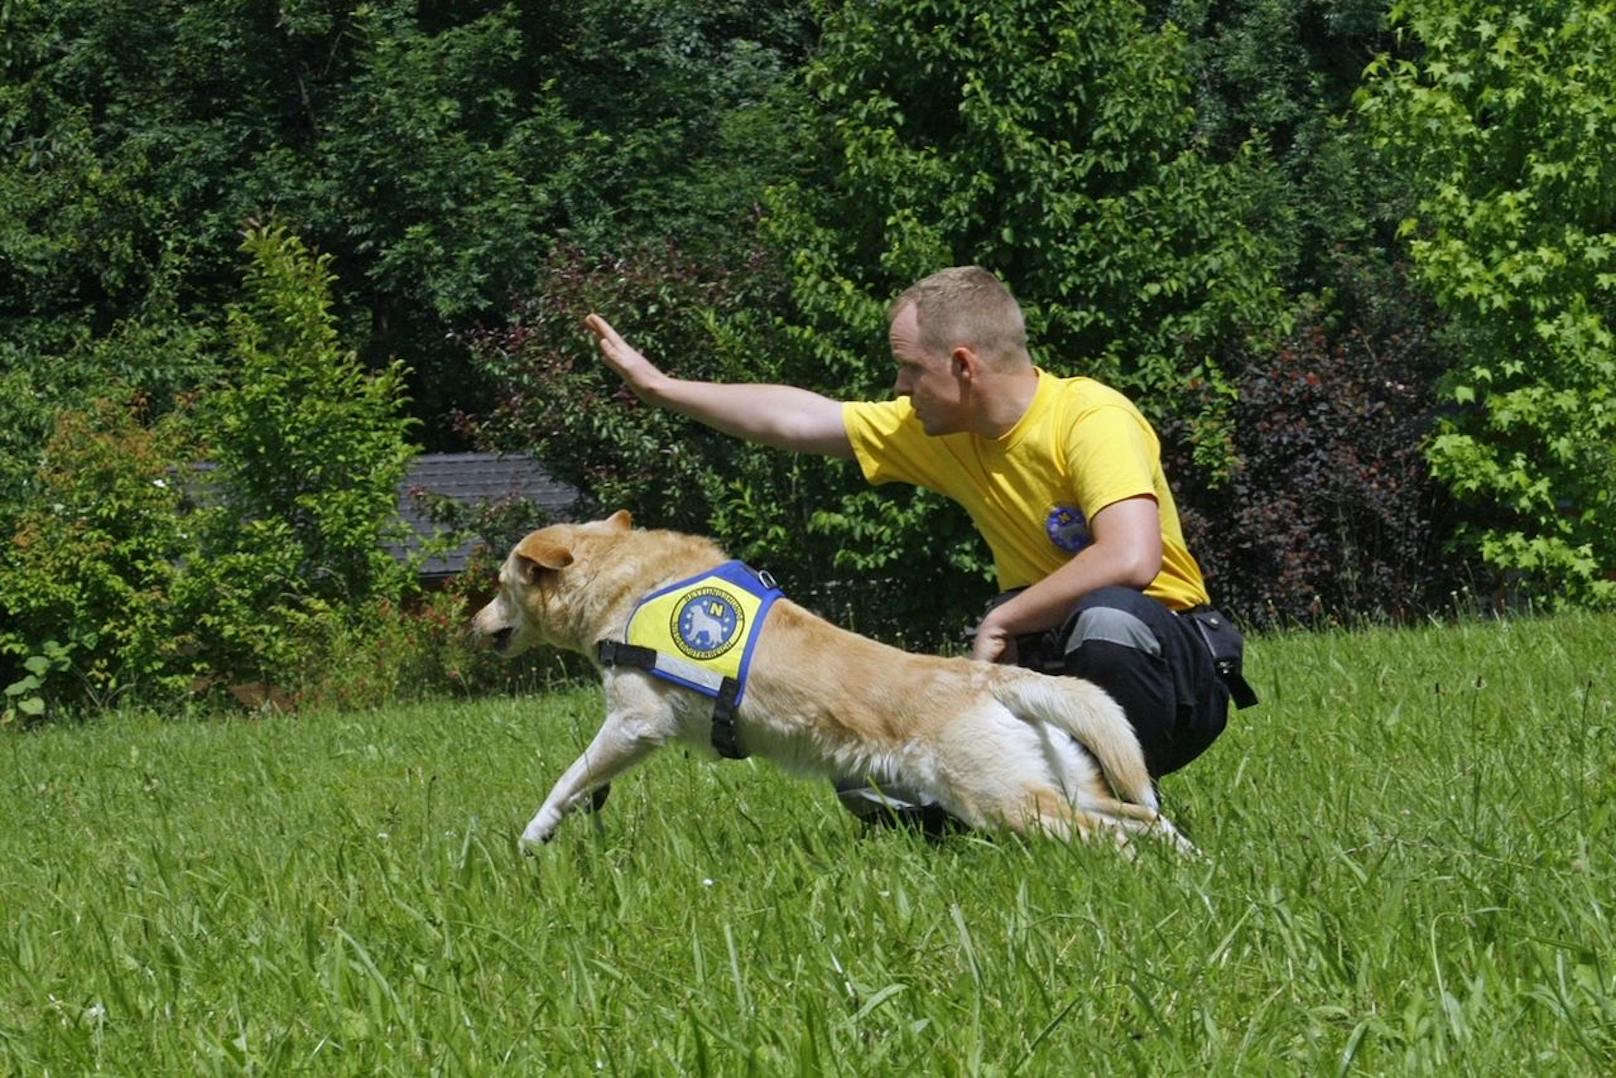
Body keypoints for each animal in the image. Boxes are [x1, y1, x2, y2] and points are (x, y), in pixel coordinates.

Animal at [468, 510, 1189, 853]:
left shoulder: (633, 724)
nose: (472, 624)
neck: (629, 580)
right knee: (1148, 820)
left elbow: (567, 780)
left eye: (499, 586)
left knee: (1112, 837)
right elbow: (586, 784)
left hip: (1002, 800)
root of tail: (987, 677)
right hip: (1059, 782)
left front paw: (532, 838)